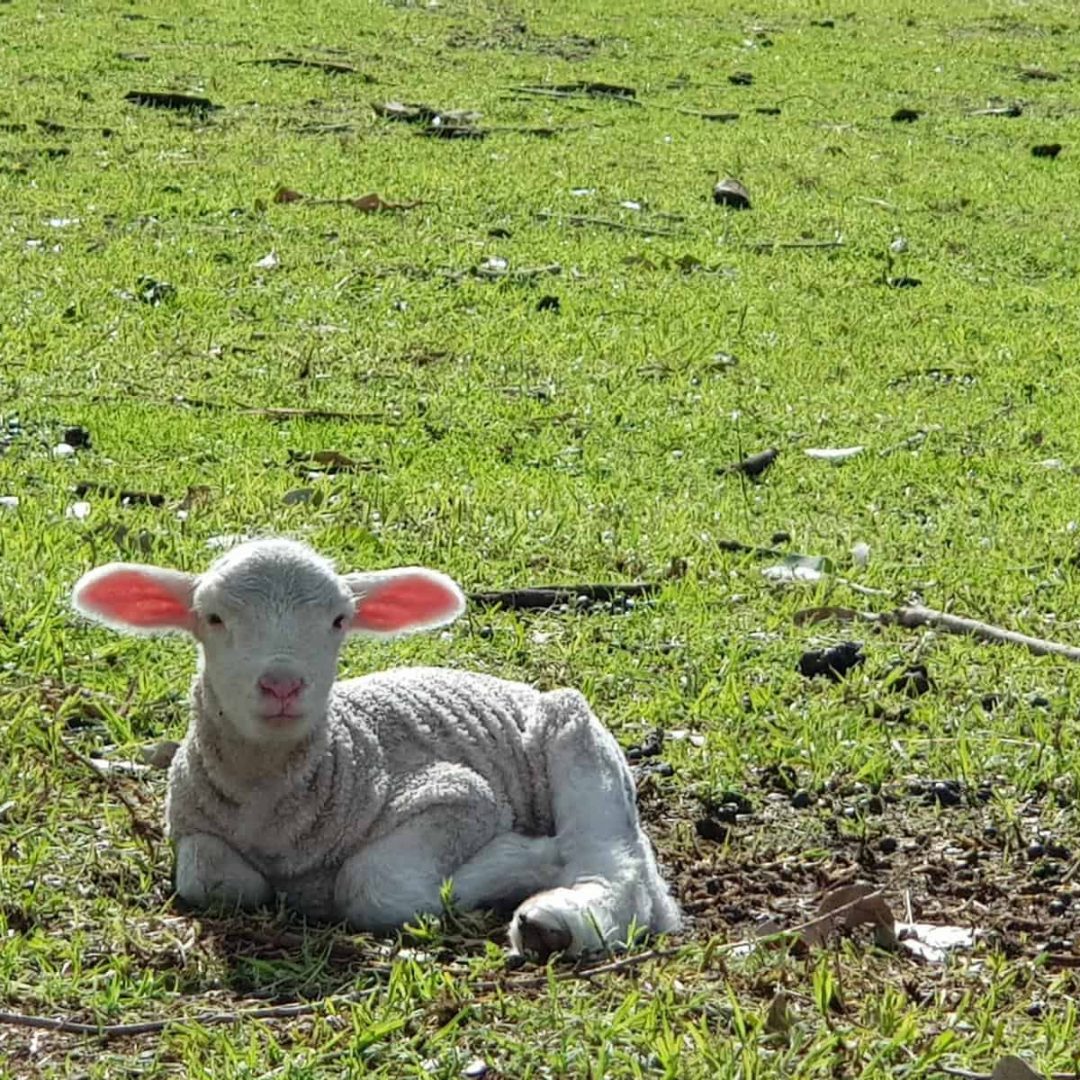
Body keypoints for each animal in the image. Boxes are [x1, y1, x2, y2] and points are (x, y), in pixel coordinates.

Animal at [71, 537, 681, 958]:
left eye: (339, 621)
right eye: (213, 618)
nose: (282, 684)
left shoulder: (461, 795)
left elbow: (375, 887)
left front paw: (520, 859)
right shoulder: (193, 828)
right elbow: (213, 880)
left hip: (578, 742)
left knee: (616, 863)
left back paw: (558, 920)